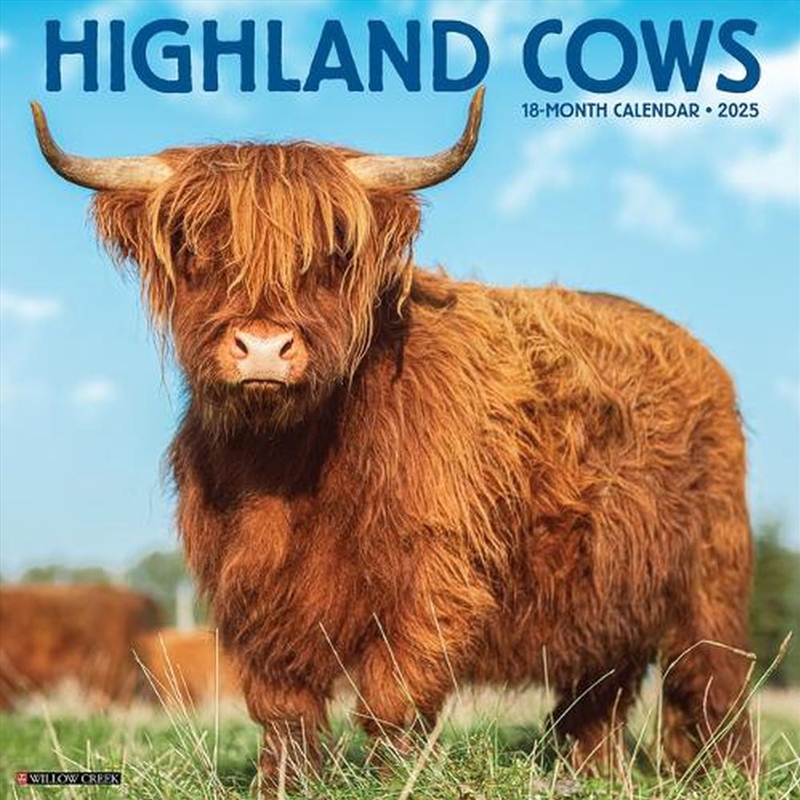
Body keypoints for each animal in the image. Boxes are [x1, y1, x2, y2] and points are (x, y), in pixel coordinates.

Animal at [31, 88, 755, 786]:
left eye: (331, 254)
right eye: (193, 248)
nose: (263, 347)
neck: (287, 467)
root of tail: (694, 348)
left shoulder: (433, 574)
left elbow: (393, 697)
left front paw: (393, 777)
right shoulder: (250, 587)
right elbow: (282, 706)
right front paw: (284, 783)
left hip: (712, 576)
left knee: (713, 682)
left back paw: (723, 772)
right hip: (606, 602)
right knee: (596, 697)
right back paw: (593, 774)